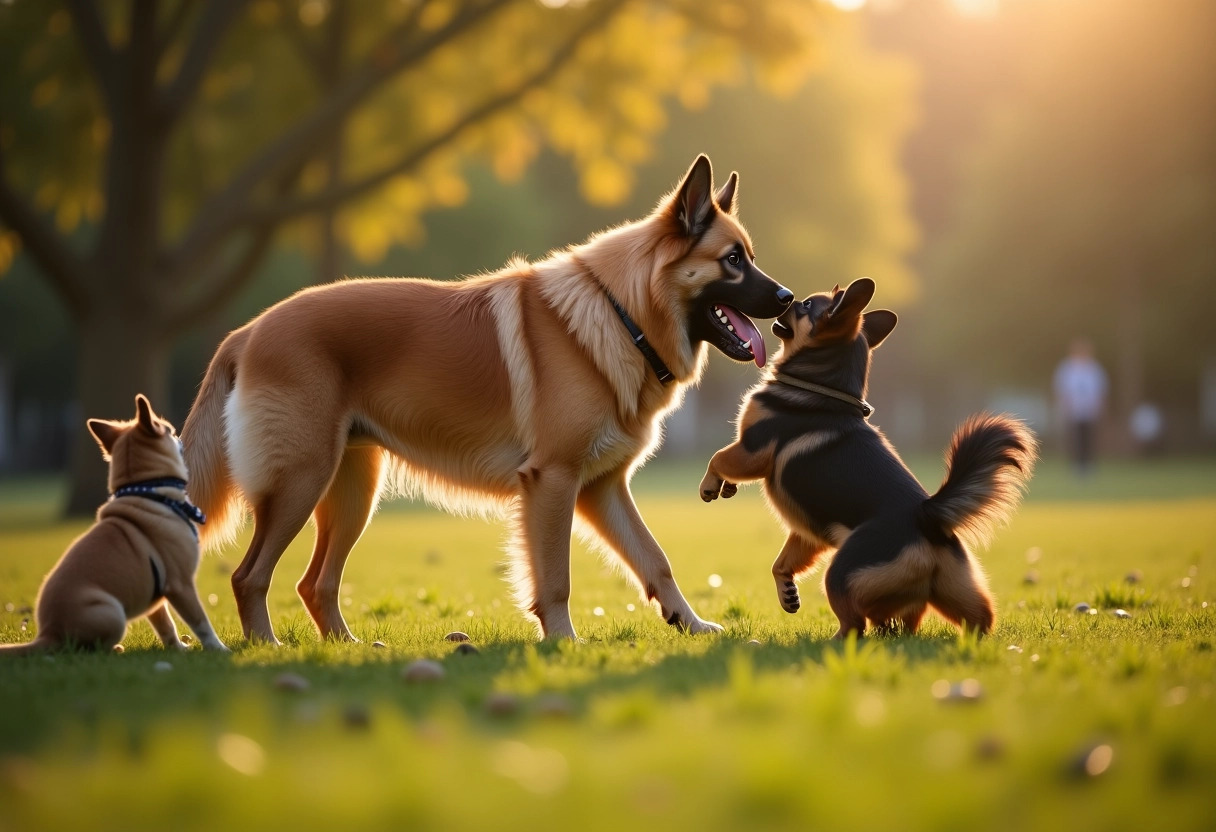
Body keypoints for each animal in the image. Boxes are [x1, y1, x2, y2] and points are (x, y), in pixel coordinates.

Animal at [0, 396, 228, 656]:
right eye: (169, 431)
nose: (179, 436)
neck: (148, 491)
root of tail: (48, 634)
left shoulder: (156, 597)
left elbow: (166, 625)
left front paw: (178, 648)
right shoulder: (181, 585)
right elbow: (200, 621)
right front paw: (218, 649)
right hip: (112, 612)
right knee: (89, 648)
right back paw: (115, 649)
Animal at [179, 152, 787, 642]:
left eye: (750, 255)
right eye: (733, 260)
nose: (787, 300)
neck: (621, 314)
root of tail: (247, 332)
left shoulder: (603, 488)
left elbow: (655, 560)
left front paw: (692, 624)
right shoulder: (554, 482)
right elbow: (556, 578)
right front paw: (564, 642)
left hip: (351, 493)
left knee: (314, 584)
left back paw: (345, 647)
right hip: (299, 483)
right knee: (249, 576)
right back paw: (268, 648)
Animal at [700, 279, 1031, 637]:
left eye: (805, 306)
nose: (788, 298)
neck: (819, 385)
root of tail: (926, 516)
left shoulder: (752, 450)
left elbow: (717, 458)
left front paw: (710, 487)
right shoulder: (807, 533)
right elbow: (781, 564)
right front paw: (788, 594)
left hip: (841, 574)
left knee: (856, 624)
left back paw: (834, 640)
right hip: (956, 592)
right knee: (959, 620)